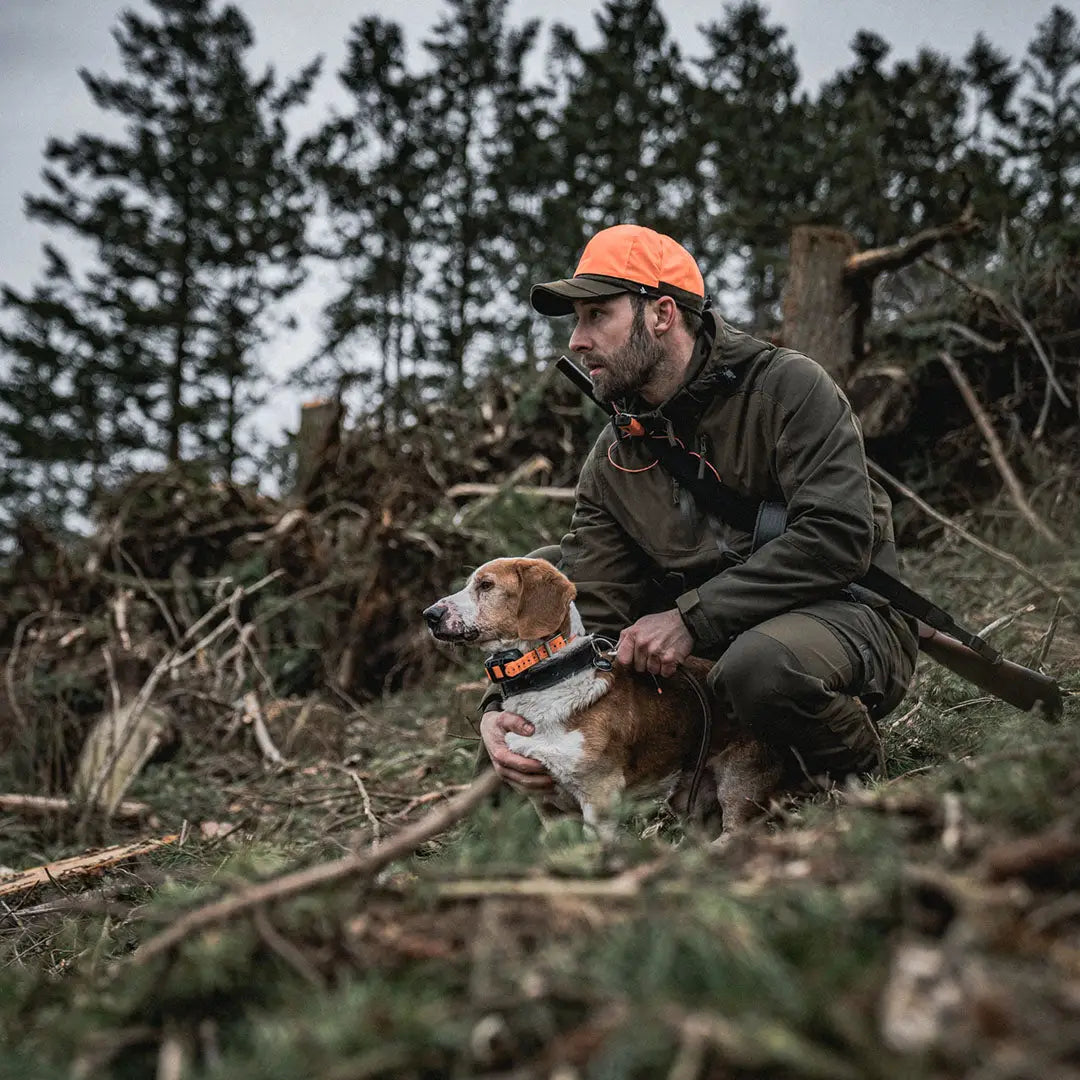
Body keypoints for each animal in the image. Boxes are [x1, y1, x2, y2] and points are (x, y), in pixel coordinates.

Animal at [416, 561, 781, 838]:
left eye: (486, 585)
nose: (429, 615)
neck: (546, 683)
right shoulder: (547, 806)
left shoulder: (599, 799)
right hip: (689, 800)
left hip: (738, 783)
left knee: (739, 830)